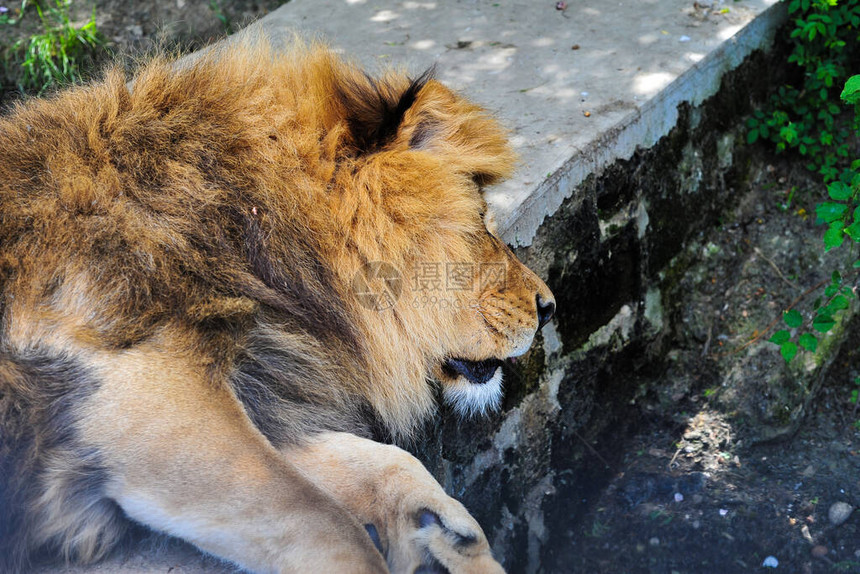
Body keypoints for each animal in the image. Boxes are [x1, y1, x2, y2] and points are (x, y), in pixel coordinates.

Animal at [0, 37, 556, 574]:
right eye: (481, 221)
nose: (549, 306)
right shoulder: (147, 397)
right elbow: (332, 529)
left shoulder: (265, 392)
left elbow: (388, 465)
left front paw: (447, 538)